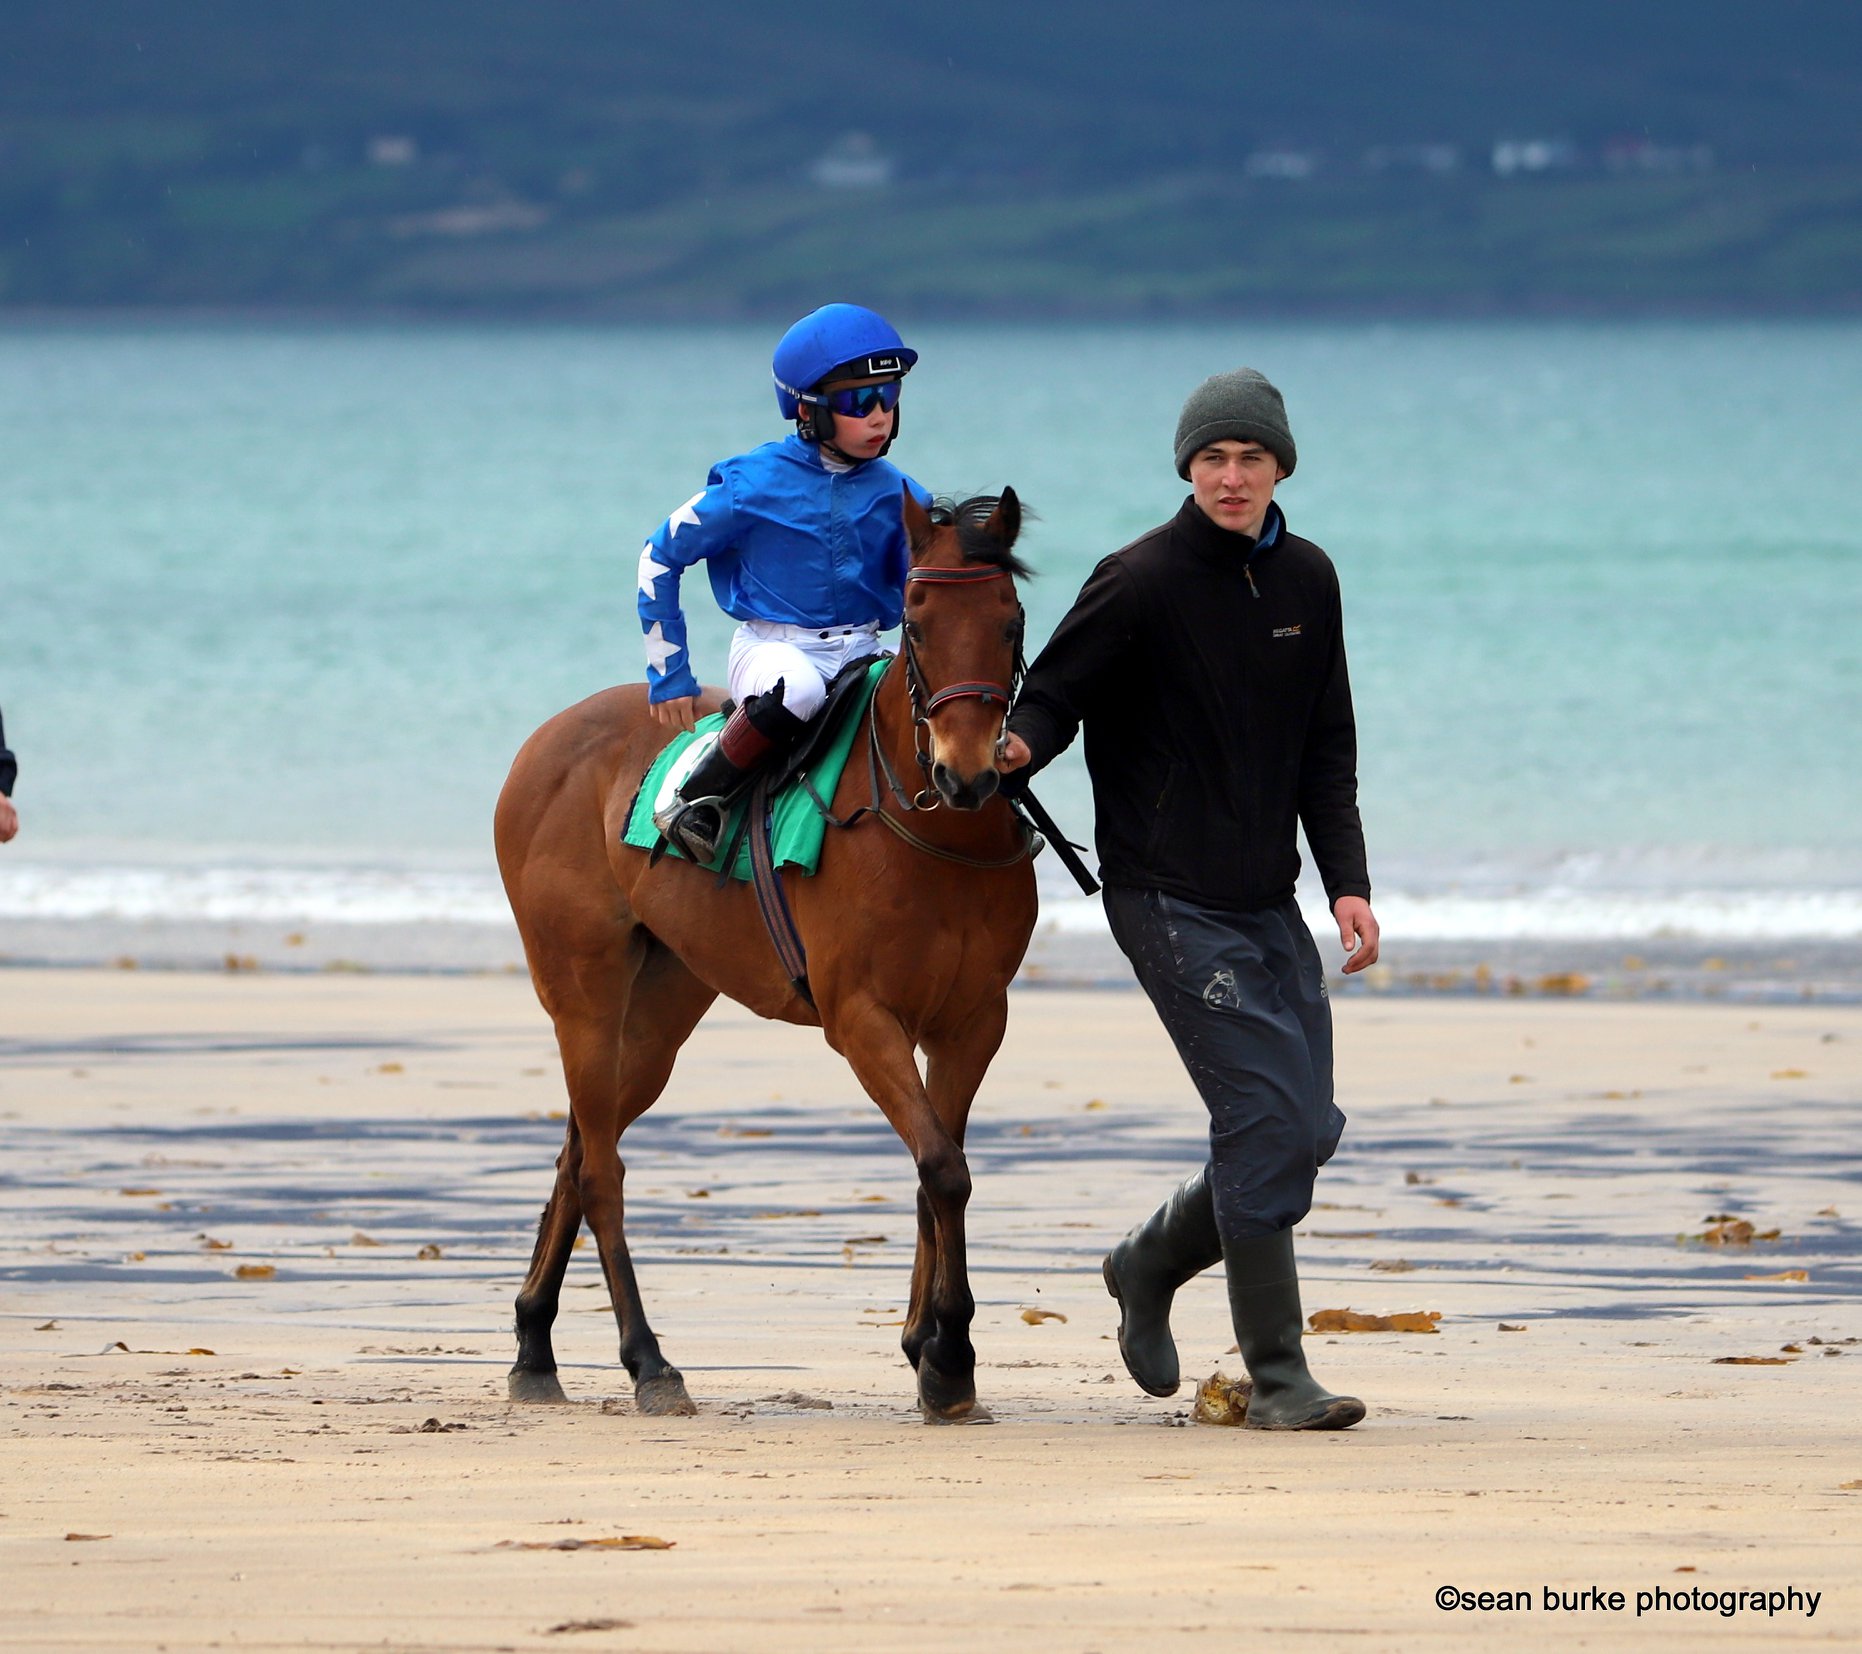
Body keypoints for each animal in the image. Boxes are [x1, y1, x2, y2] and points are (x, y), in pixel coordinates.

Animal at [493, 488, 1039, 1423]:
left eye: (1009, 619)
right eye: (916, 619)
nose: (966, 773)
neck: (929, 833)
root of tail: (546, 741)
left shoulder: (973, 1019)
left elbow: (939, 1171)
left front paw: (930, 1348)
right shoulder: (861, 1019)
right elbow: (941, 1166)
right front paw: (949, 1354)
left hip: (660, 1010)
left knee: (577, 1152)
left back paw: (535, 1345)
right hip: (583, 992)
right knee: (601, 1172)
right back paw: (649, 1362)